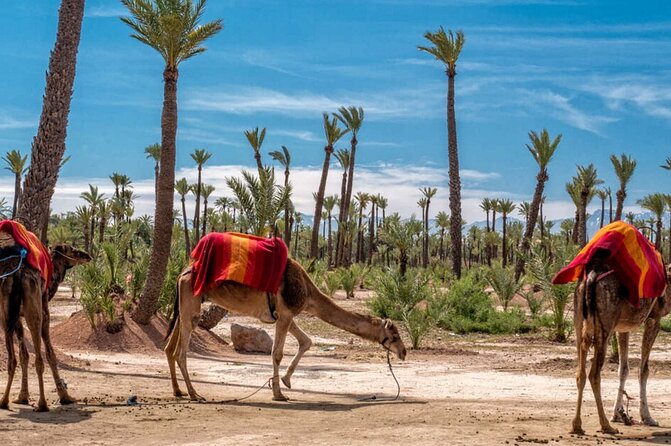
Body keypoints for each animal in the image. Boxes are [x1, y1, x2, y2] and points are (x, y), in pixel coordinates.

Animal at [165, 258, 406, 400]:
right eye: (394, 335)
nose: (403, 352)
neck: (308, 292)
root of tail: (182, 273)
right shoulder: (286, 313)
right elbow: (277, 353)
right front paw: (278, 393)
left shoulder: (286, 315)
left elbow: (306, 341)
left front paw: (285, 381)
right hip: (191, 304)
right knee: (180, 351)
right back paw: (194, 394)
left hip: (185, 306)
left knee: (169, 348)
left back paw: (178, 391)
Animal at [572, 256, 671, 434]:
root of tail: (590, 277)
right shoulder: (654, 319)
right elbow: (643, 370)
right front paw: (647, 417)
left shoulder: (623, 327)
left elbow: (623, 369)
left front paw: (617, 414)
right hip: (605, 325)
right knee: (594, 374)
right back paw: (606, 425)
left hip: (578, 319)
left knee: (580, 373)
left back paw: (577, 425)